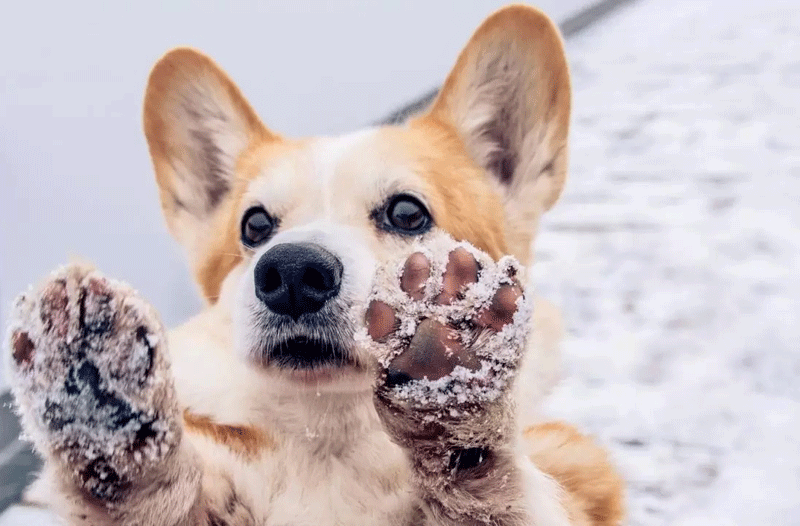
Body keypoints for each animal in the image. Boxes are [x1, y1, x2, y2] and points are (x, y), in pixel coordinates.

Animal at [4, 5, 624, 526]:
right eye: (255, 225)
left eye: (407, 212)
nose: (293, 274)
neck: (329, 437)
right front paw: (101, 395)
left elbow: (490, 489)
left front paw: (450, 375)